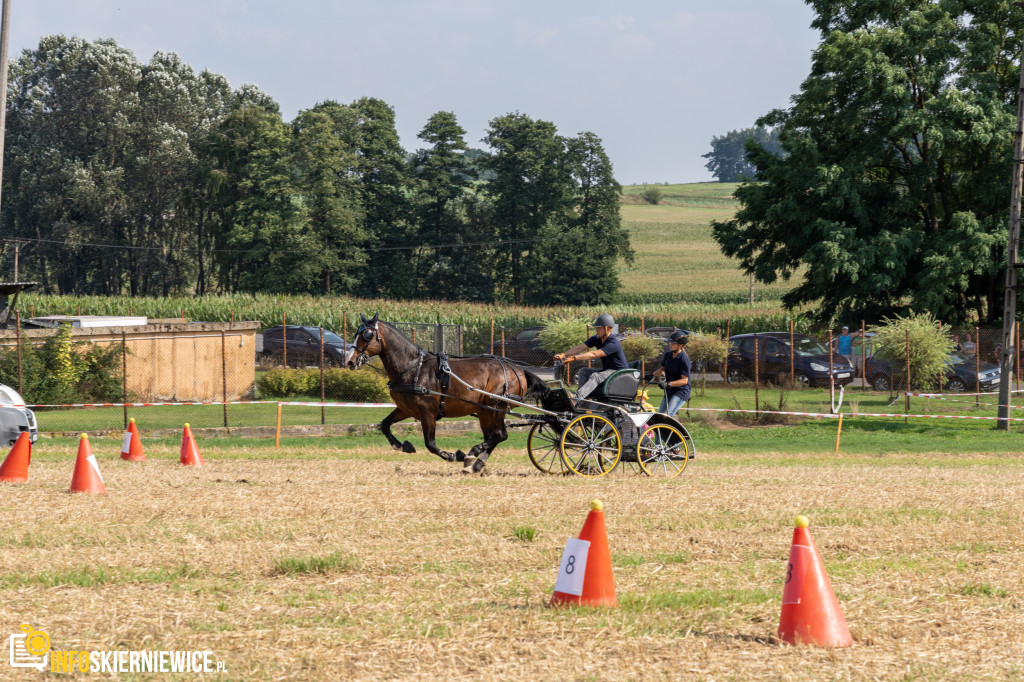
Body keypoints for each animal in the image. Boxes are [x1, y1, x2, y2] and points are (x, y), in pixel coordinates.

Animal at [352, 311, 552, 471]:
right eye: (356, 333)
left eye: (367, 335)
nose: (351, 361)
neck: (414, 368)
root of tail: (517, 369)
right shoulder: (405, 409)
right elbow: (385, 425)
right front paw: (403, 446)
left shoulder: (427, 413)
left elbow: (430, 444)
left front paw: (451, 455)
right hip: (485, 411)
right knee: (494, 436)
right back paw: (476, 463)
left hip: (496, 407)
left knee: (499, 435)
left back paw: (472, 454)